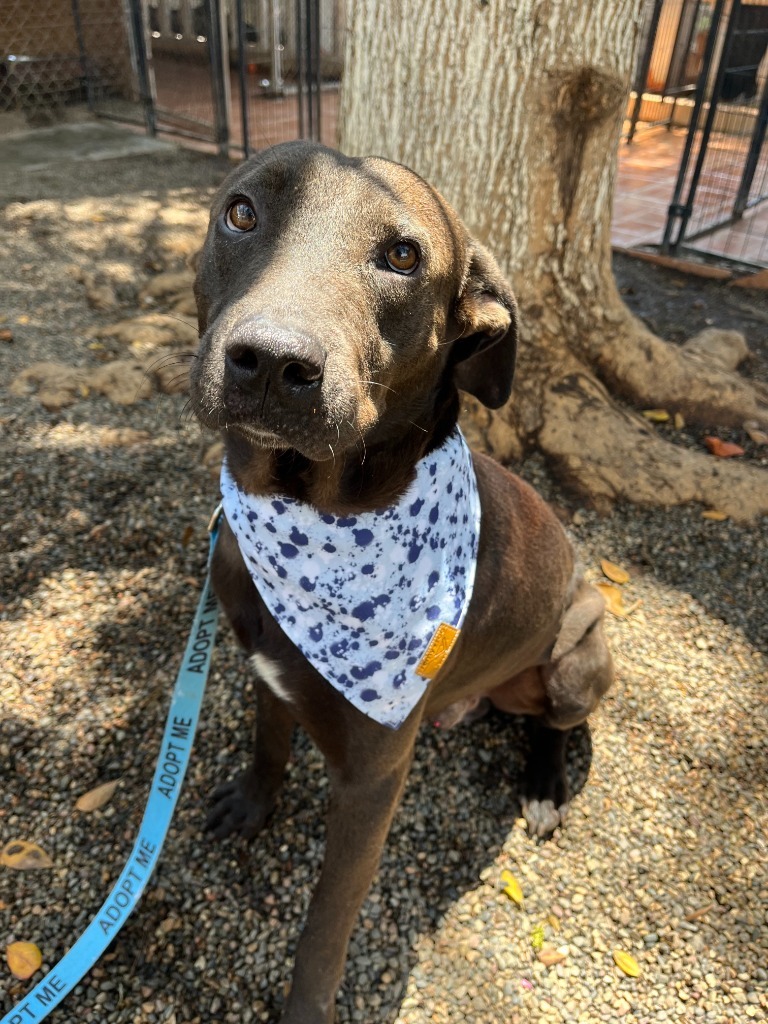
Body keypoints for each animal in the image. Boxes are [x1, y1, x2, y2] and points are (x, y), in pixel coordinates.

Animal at [191, 144, 614, 1024]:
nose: (274, 361)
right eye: (241, 213)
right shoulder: (265, 673)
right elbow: (267, 743)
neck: (306, 512)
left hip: (580, 648)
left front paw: (307, 1006)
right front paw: (252, 804)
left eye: (402, 256)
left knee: (557, 723)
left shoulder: (371, 783)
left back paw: (545, 786)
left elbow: (327, 925)